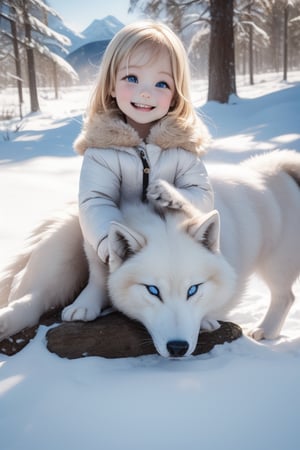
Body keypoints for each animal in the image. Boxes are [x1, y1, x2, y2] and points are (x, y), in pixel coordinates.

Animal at [0, 149, 300, 356]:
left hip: (276, 263)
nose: (178, 348)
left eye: (193, 289)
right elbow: (97, 275)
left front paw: (207, 320)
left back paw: (266, 330)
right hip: (62, 249)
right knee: (34, 298)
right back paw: (7, 321)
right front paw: (87, 303)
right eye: (153, 291)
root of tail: (275, 168)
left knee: (285, 296)